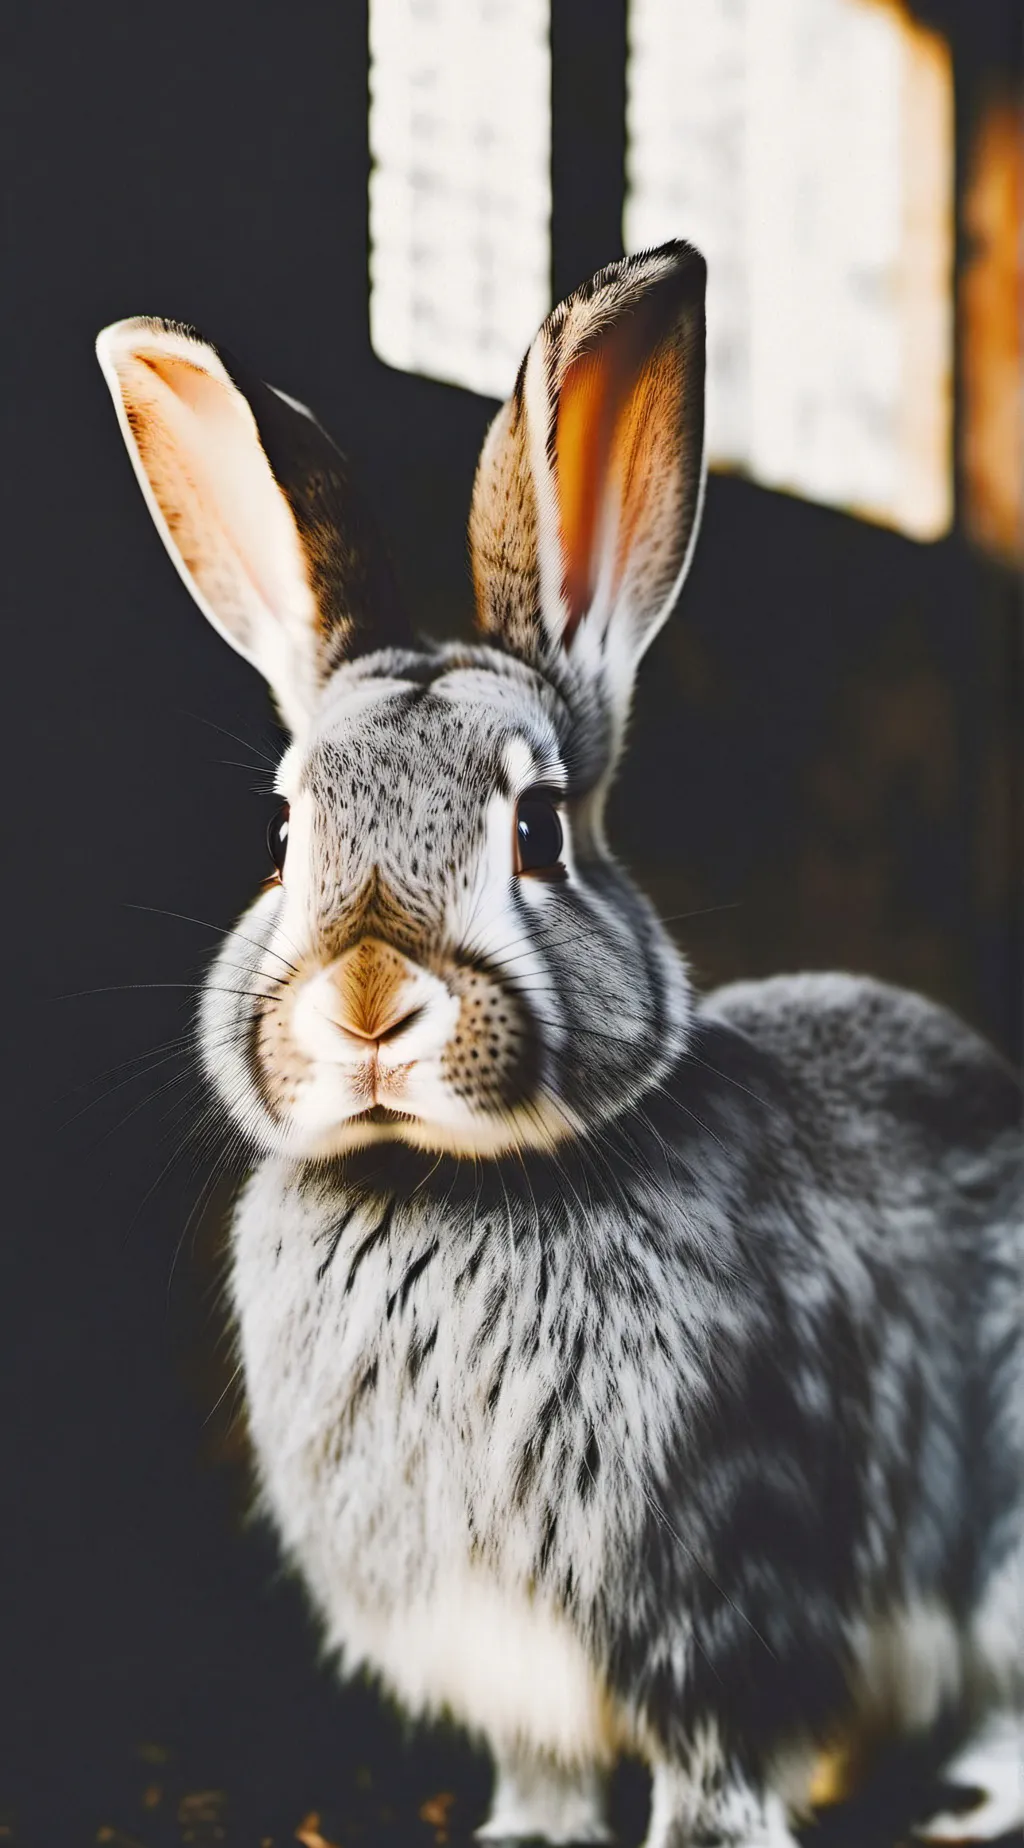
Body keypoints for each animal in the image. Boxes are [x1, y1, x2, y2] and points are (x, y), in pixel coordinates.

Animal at [96, 241, 1023, 1848]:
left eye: (535, 832)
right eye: (283, 839)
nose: (368, 1003)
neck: (437, 1182)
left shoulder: (725, 1609)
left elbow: (717, 1767)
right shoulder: (505, 1662)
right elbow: (544, 1769)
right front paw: (525, 1836)